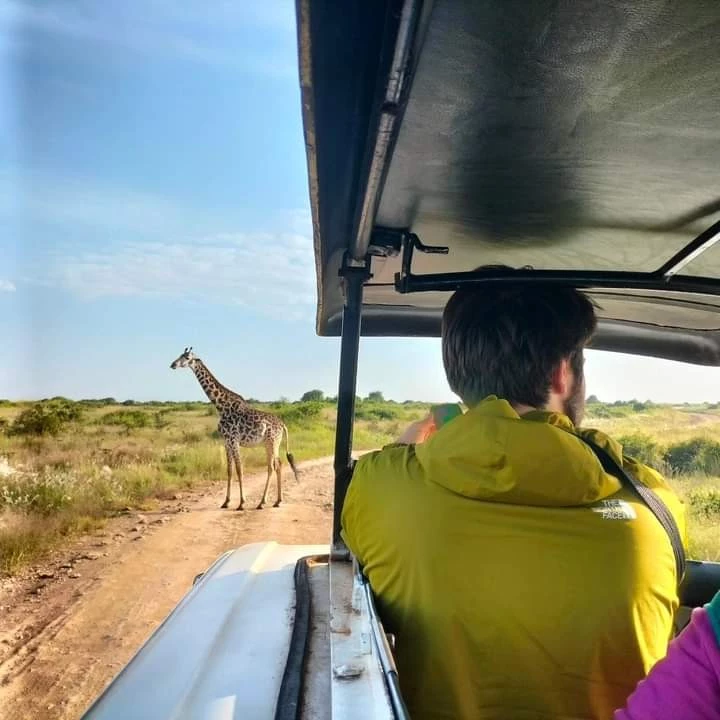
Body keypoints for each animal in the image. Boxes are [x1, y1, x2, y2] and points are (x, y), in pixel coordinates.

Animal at [170, 347, 299, 510]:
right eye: (180, 355)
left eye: (186, 357)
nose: (173, 365)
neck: (221, 406)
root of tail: (283, 424)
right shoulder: (226, 442)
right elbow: (229, 471)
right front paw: (226, 502)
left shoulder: (234, 441)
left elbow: (239, 470)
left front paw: (241, 503)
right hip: (268, 444)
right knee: (276, 465)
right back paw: (273, 501)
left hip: (272, 442)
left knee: (274, 465)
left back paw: (265, 502)